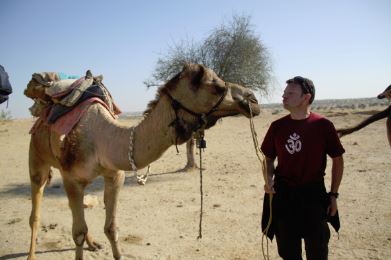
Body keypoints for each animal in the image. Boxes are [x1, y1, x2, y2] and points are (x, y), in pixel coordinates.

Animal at [25, 63, 260, 260]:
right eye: (216, 86)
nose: (253, 100)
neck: (101, 139)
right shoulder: (72, 178)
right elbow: (78, 233)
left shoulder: (115, 175)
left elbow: (111, 228)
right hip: (37, 158)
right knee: (36, 210)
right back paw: (31, 255)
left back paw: (94, 245)